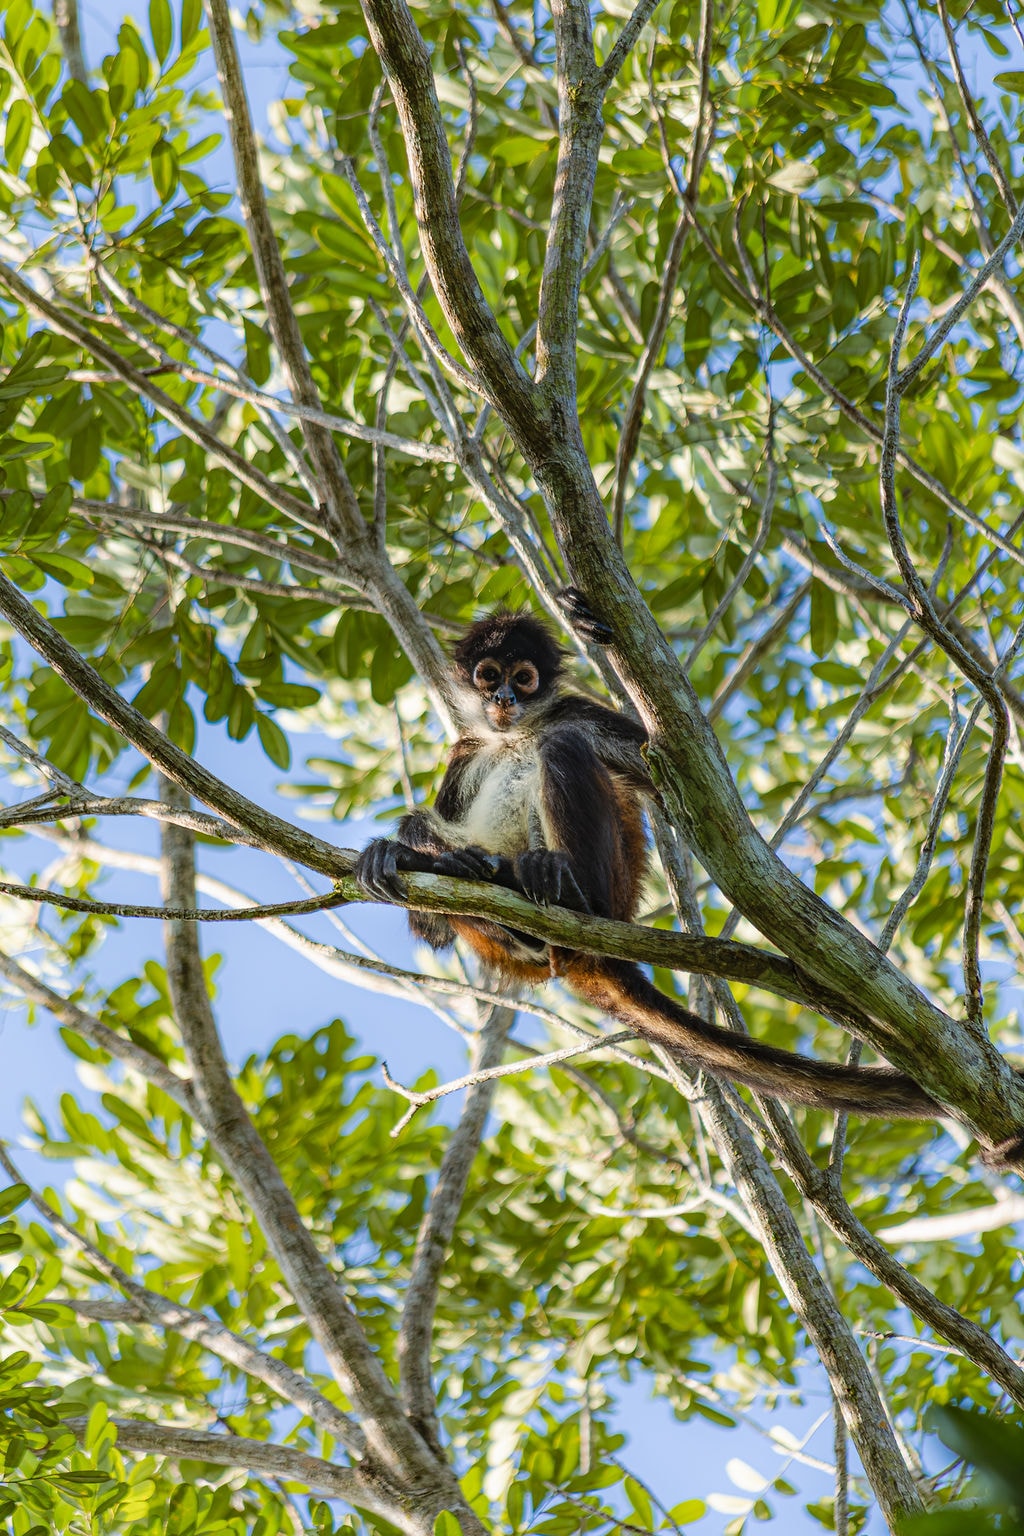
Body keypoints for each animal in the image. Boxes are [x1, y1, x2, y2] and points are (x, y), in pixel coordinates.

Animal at [354, 592, 1024, 1152]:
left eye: (524, 678)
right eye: (488, 677)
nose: (504, 701)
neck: (513, 734)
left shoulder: (573, 711)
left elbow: (687, 787)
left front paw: (590, 627)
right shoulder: (466, 754)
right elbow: (433, 928)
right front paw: (412, 858)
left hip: (614, 881)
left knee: (563, 749)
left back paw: (558, 888)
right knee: (427, 833)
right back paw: (465, 868)